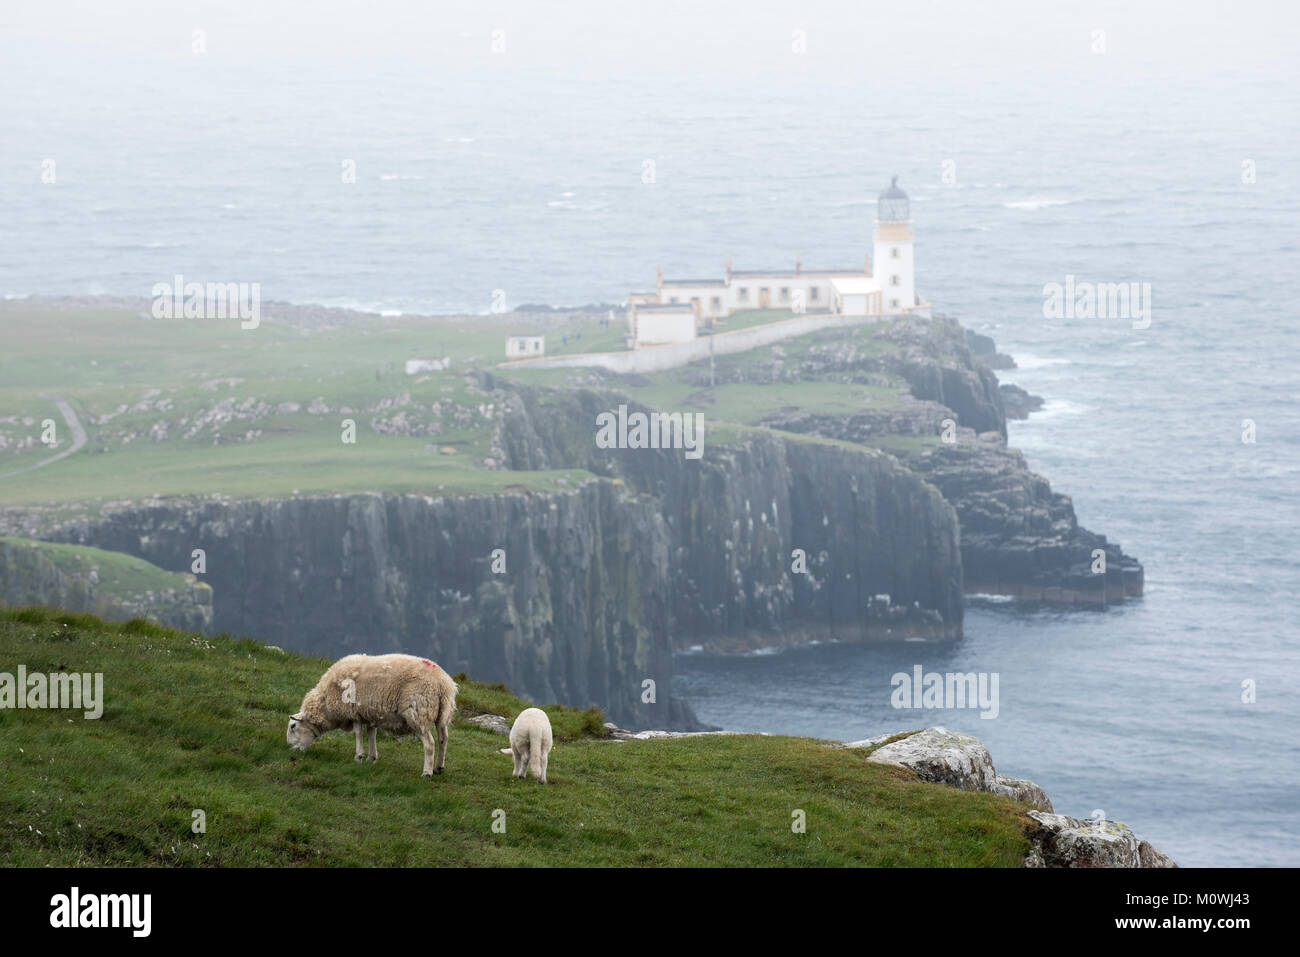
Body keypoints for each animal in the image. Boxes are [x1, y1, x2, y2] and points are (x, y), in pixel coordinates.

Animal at [287, 650, 460, 780]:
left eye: (293, 726)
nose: (291, 750)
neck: (326, 705)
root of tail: (444, 684)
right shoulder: (370, 713)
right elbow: (371, 734)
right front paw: (372, 757)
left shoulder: (354, 712)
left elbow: (358, 734)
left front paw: (358, 757)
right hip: (442, 714)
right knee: (443, 739)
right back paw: (438, 767)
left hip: (418, 712)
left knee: (429, 744)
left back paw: (427, 773)